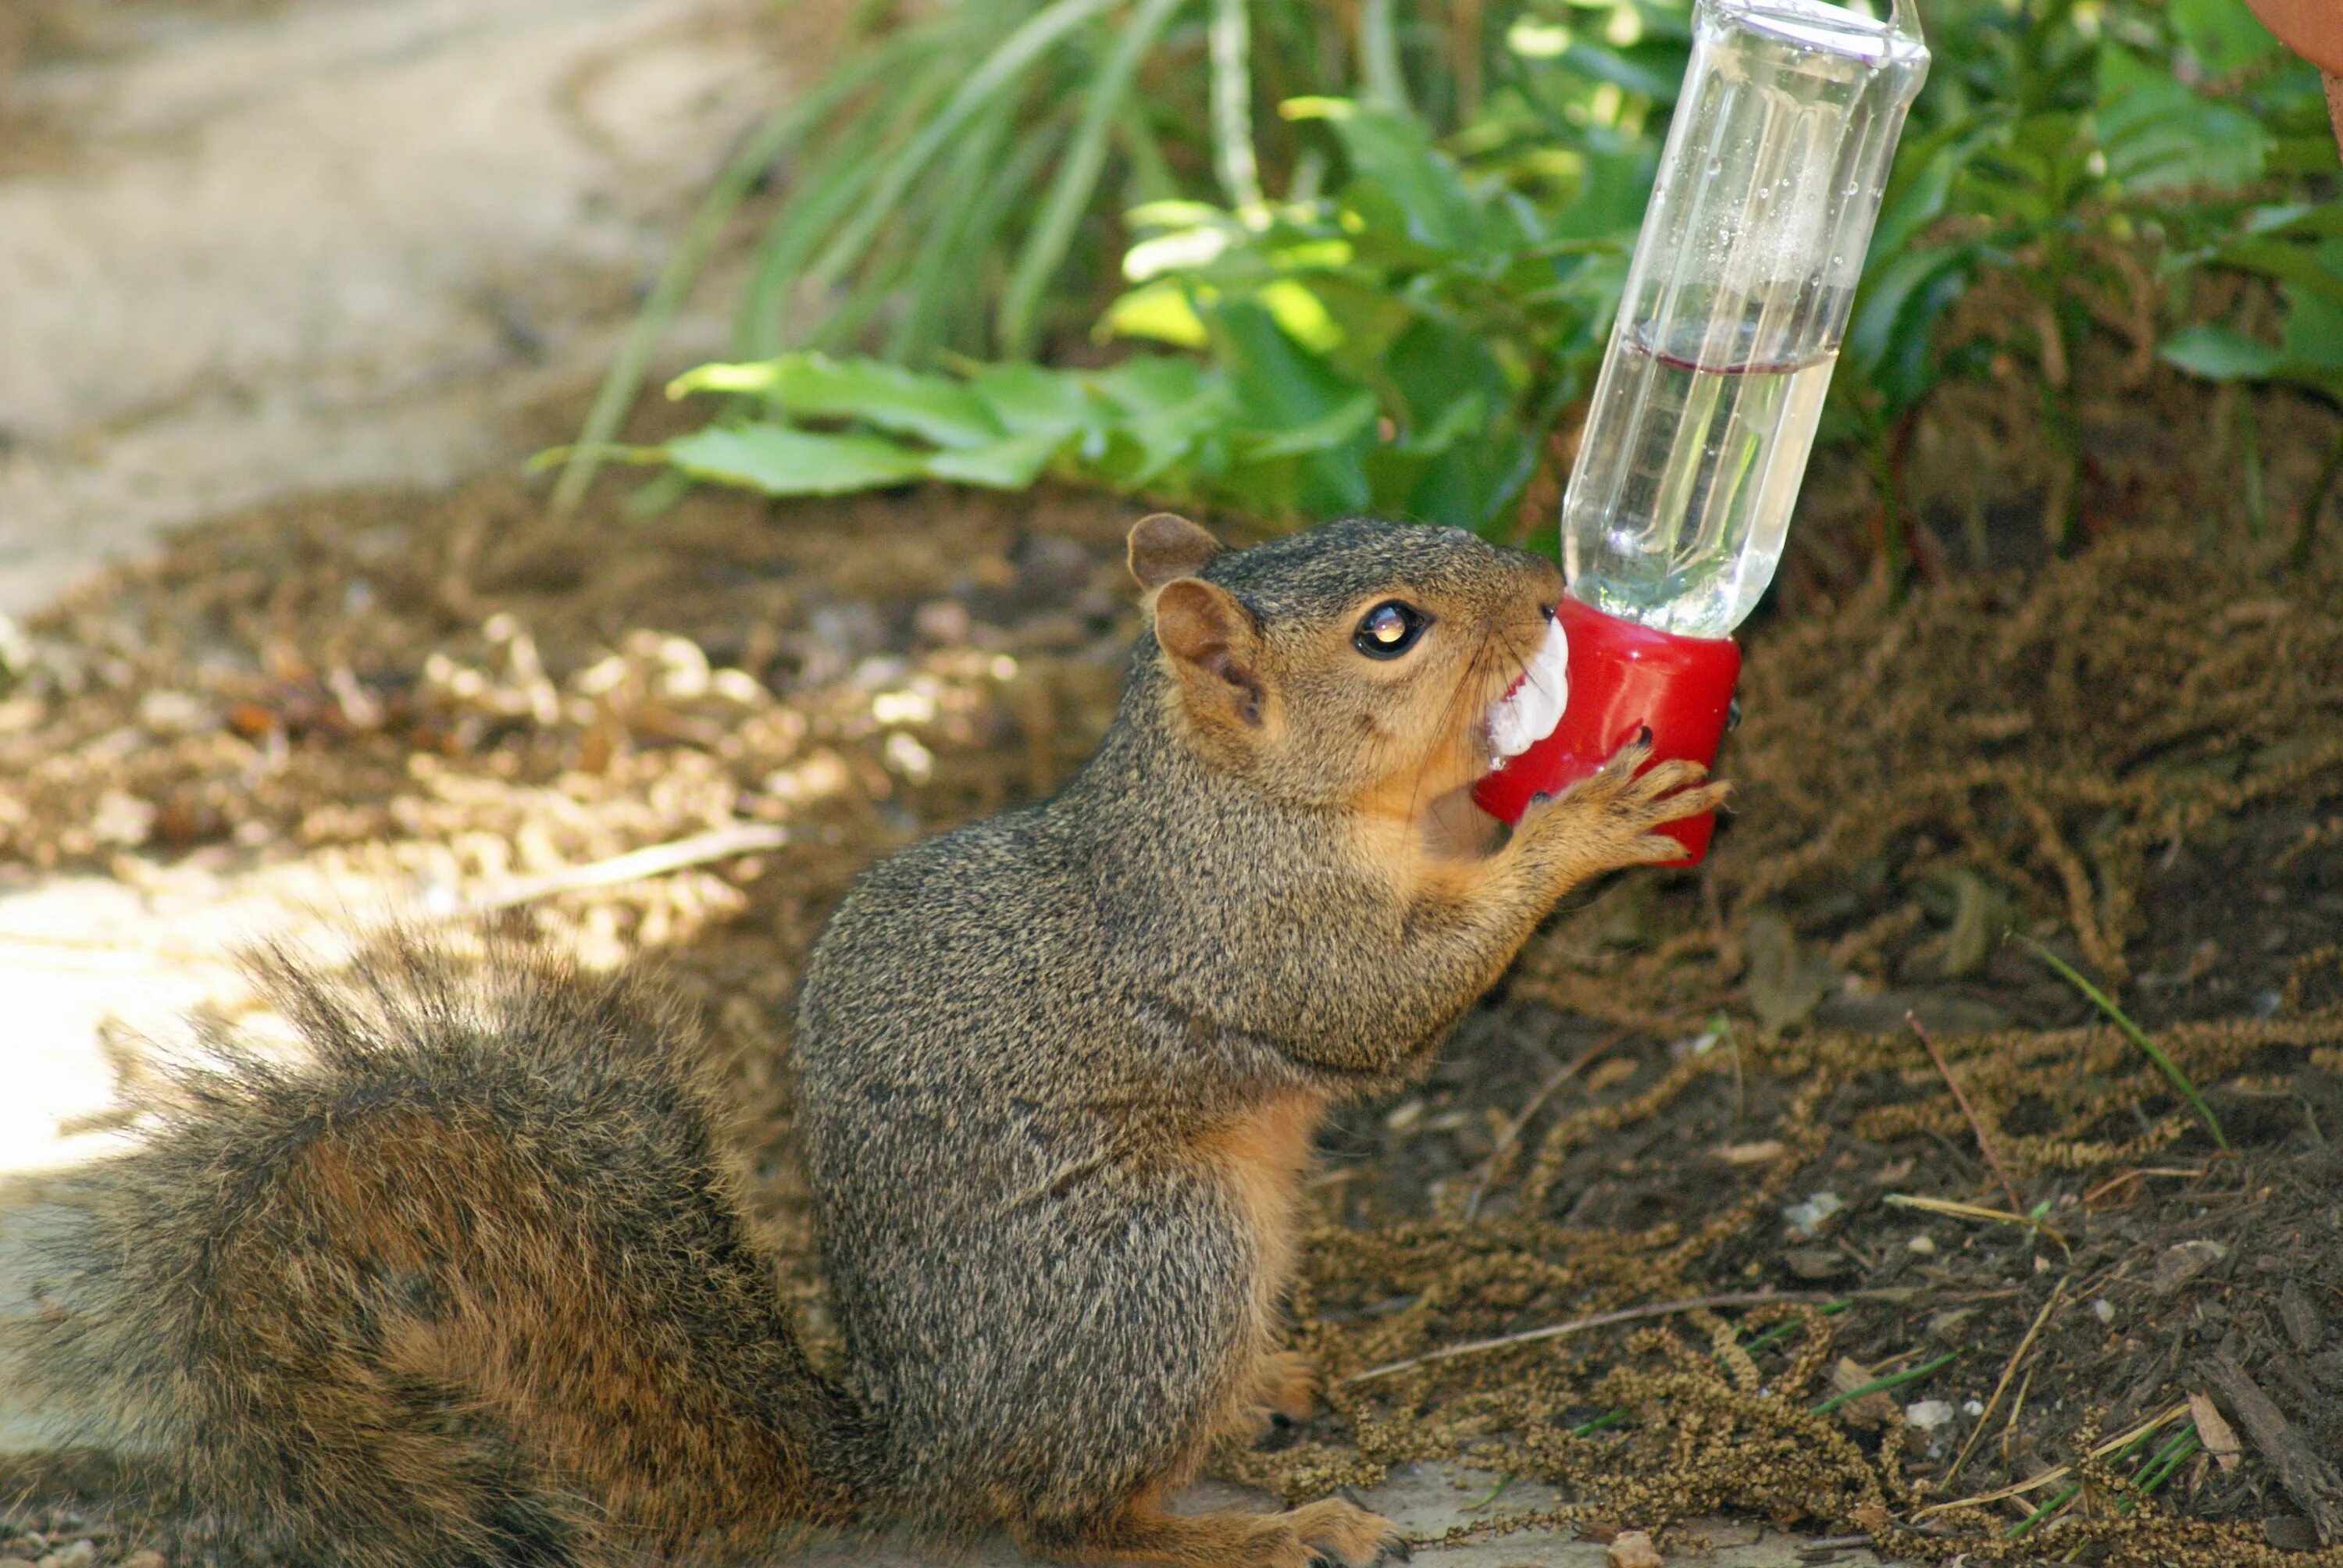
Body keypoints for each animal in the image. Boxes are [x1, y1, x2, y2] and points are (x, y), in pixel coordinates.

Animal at [0, 513, 1724, 1565]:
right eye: (1389, 630)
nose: (1543, 593)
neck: (1230, 792)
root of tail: (924, 1453)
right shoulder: (1247, 930)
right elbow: (1387, 1004)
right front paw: (1577, 825)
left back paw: (1268, 1386)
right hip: (1162, 1256)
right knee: (1076, 1520)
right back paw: (1261, 1525)